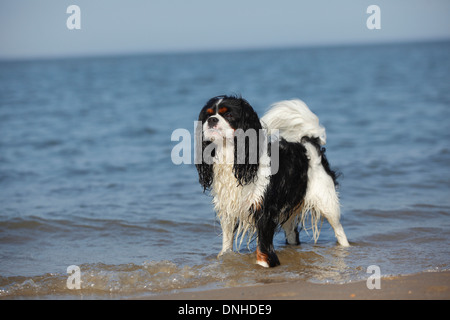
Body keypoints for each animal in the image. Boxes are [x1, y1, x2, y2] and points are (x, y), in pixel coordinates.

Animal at [194, 95, 348, 268]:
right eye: (207, 115)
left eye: (228, 115)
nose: (212, 120)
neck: (232, 157)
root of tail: (308, 143)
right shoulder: (228, 211)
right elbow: (227, 242)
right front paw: (224, 257)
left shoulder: (264, 211)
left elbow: (262, 248)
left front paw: (264, 266)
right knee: (292, 234)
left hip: (327, 202)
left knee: (339, 231)